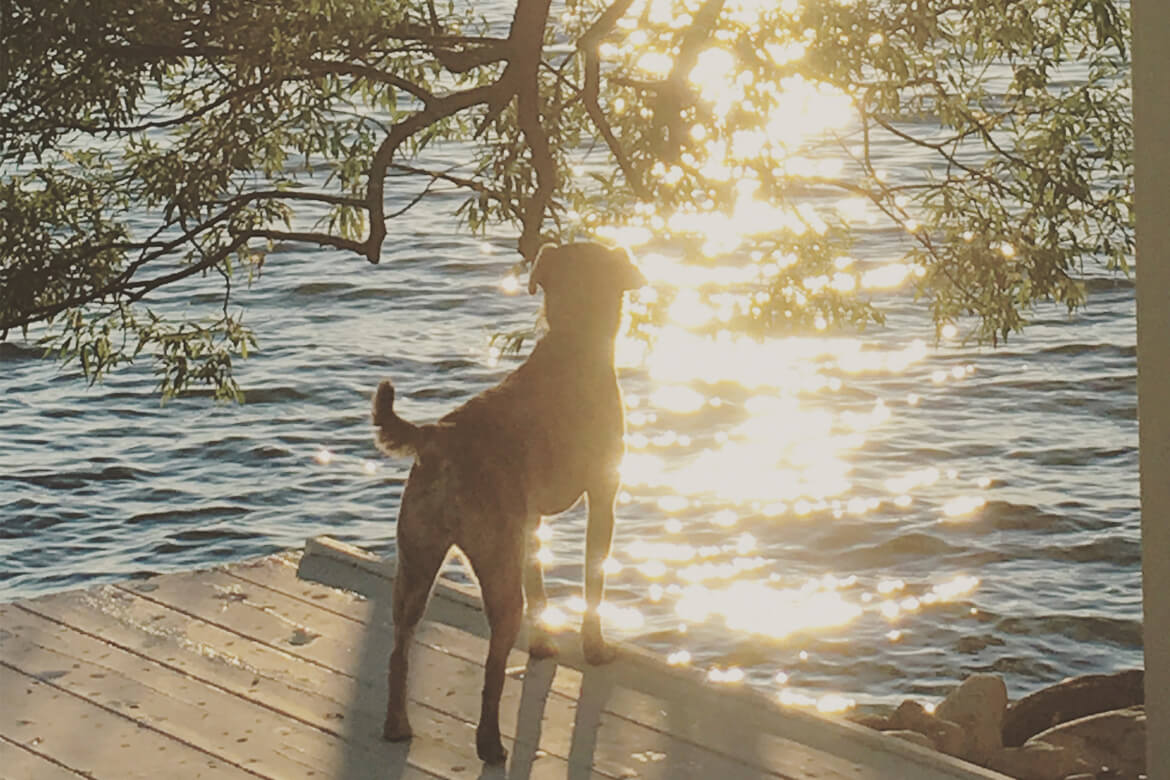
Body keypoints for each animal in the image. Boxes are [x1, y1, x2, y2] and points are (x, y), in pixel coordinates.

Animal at [369, 240, 645, 767]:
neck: (574, 344)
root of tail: (439, 438)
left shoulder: (530, 520)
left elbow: (539, 583)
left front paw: (543, 643)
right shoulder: (603, 496)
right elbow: (593, 582)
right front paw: (595, 647)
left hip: (415, 560)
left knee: (398, 646)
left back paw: (396, 725)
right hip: (493, 563)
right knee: (492, 670)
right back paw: (490, 744)